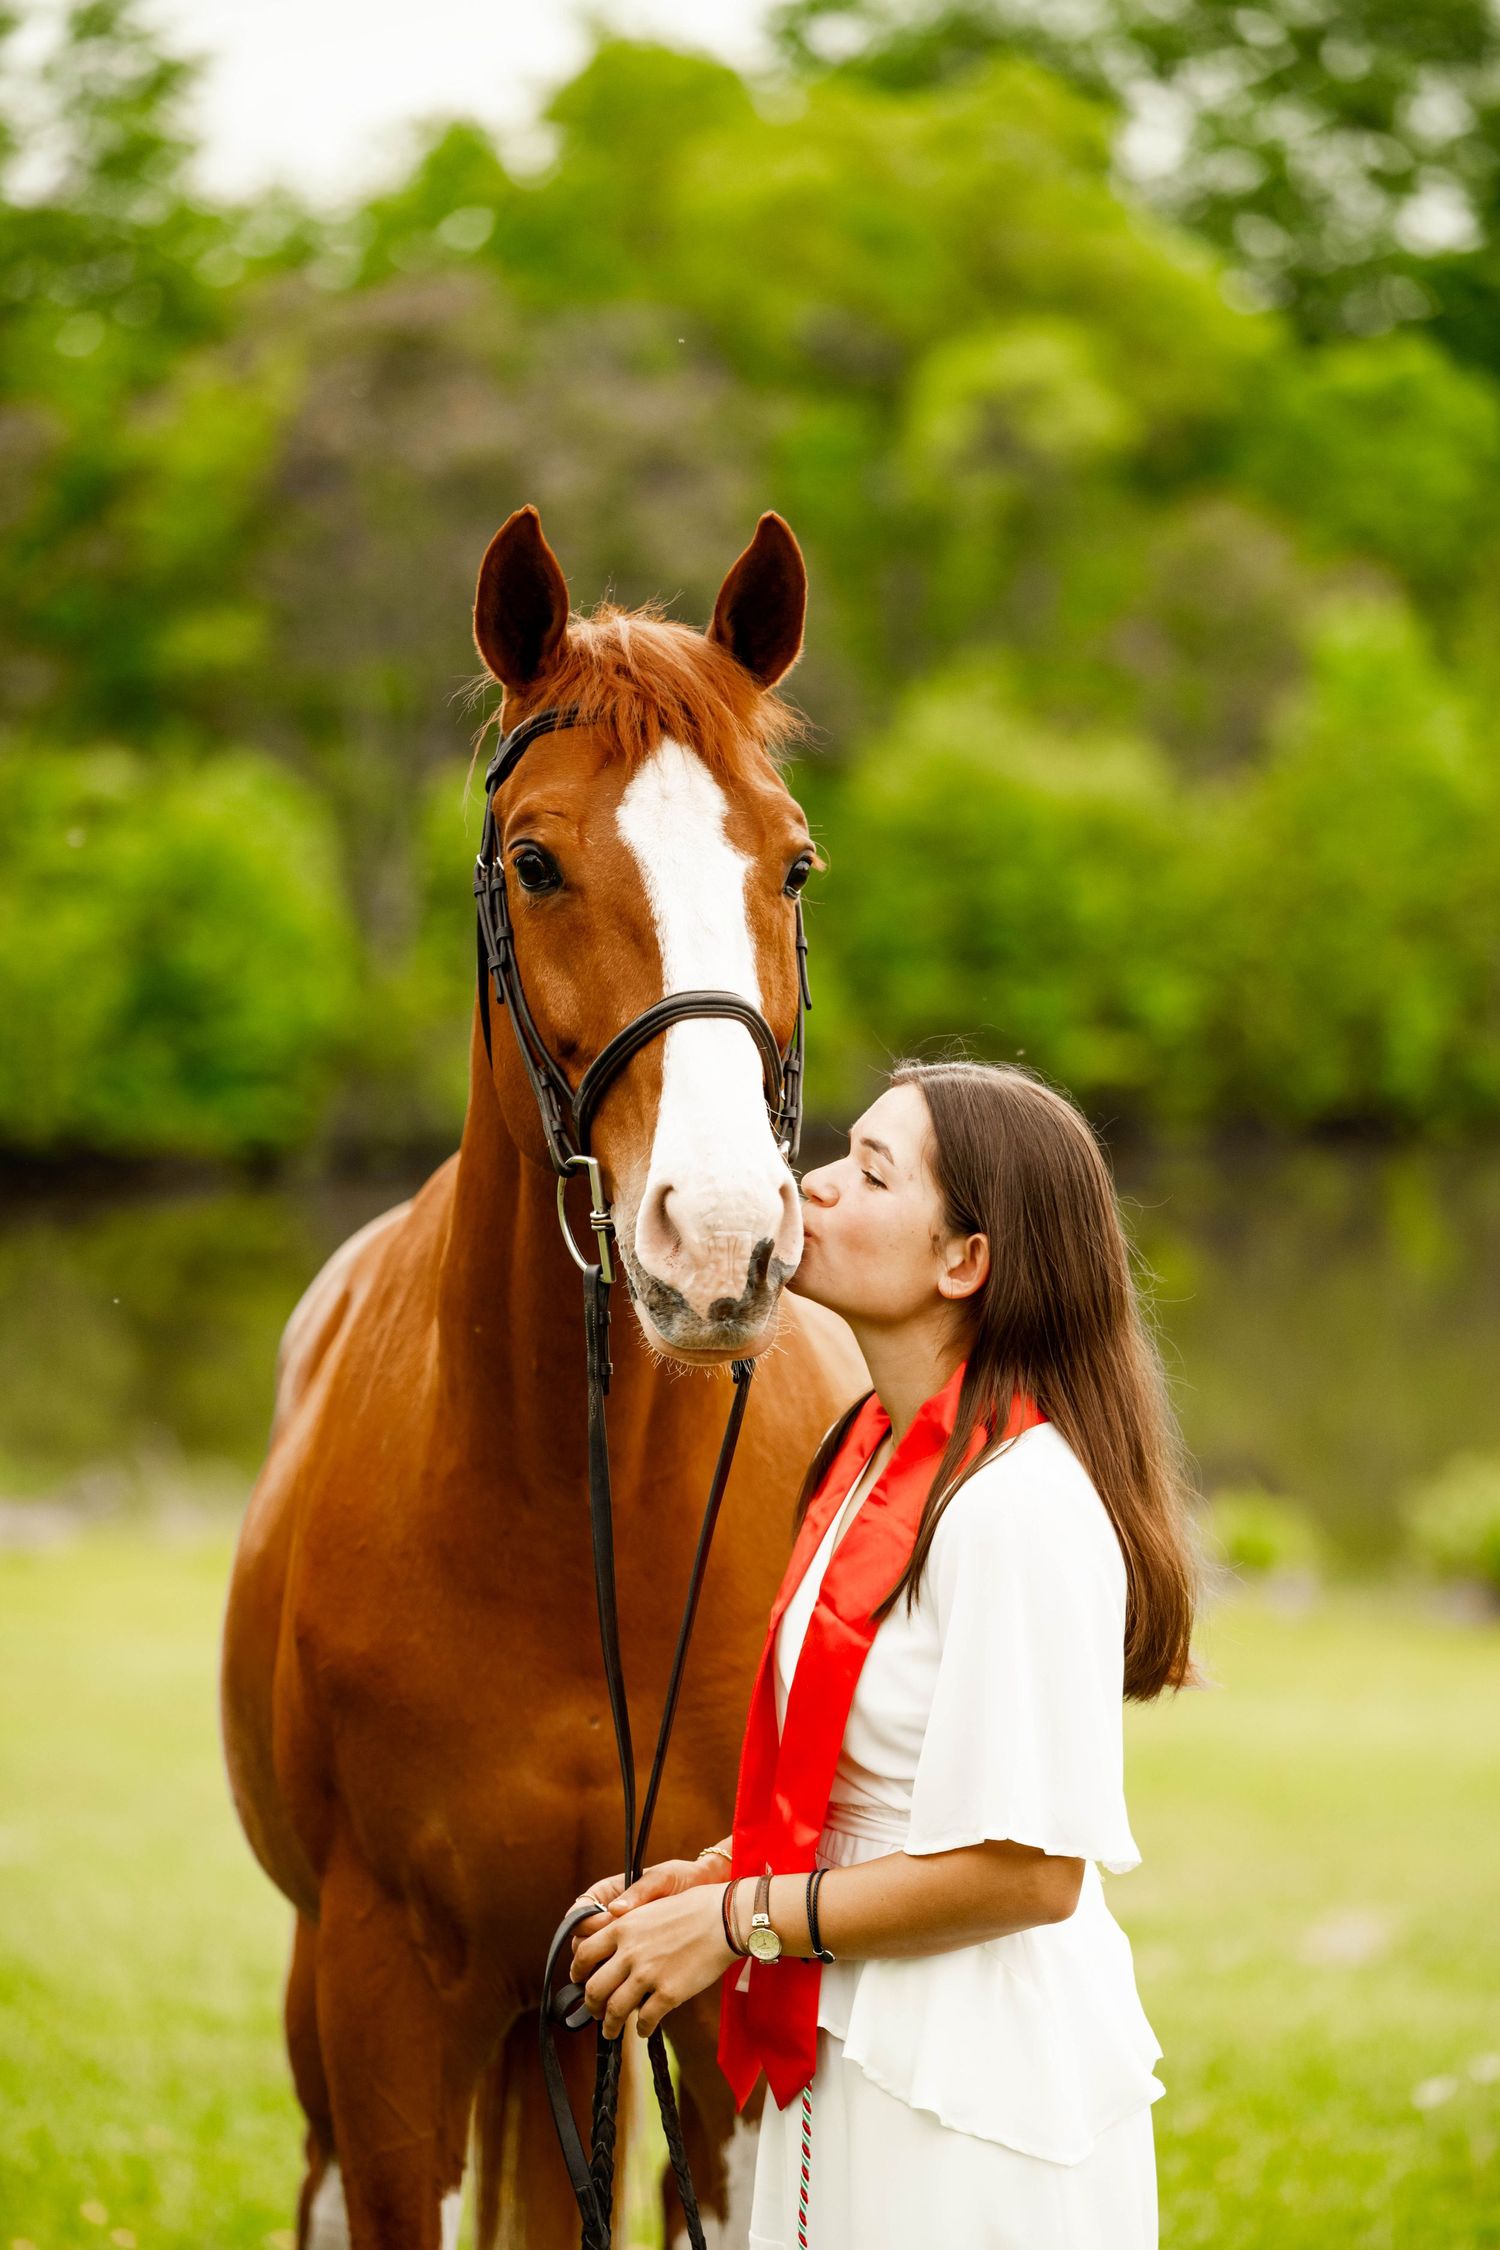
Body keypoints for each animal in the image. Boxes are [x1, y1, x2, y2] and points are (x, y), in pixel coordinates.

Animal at [220, 503, 867, 2250]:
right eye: (536, 858)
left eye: (791, 862)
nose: (719, 1237)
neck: (565, 1525)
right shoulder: (384, 2001)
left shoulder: (692, 1979)